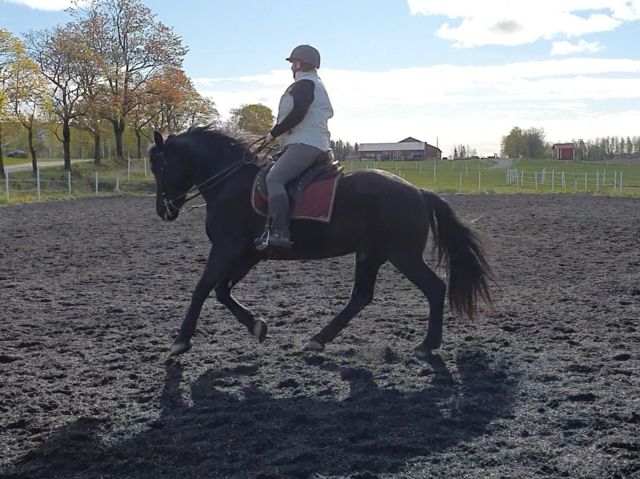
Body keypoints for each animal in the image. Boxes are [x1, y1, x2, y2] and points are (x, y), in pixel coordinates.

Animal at [149, 125, 493, 358]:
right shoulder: (248, 253)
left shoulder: (225, 249)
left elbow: (202, 288)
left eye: (160, 165)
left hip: (403, 255)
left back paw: (426, 345)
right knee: (361, 296)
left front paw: (180, 341)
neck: (231, 182)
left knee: (434, 289)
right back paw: (319, 338)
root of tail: (419, 191)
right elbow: (222, 290)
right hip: (370, 253)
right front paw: (256, 325)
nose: (163, 210)